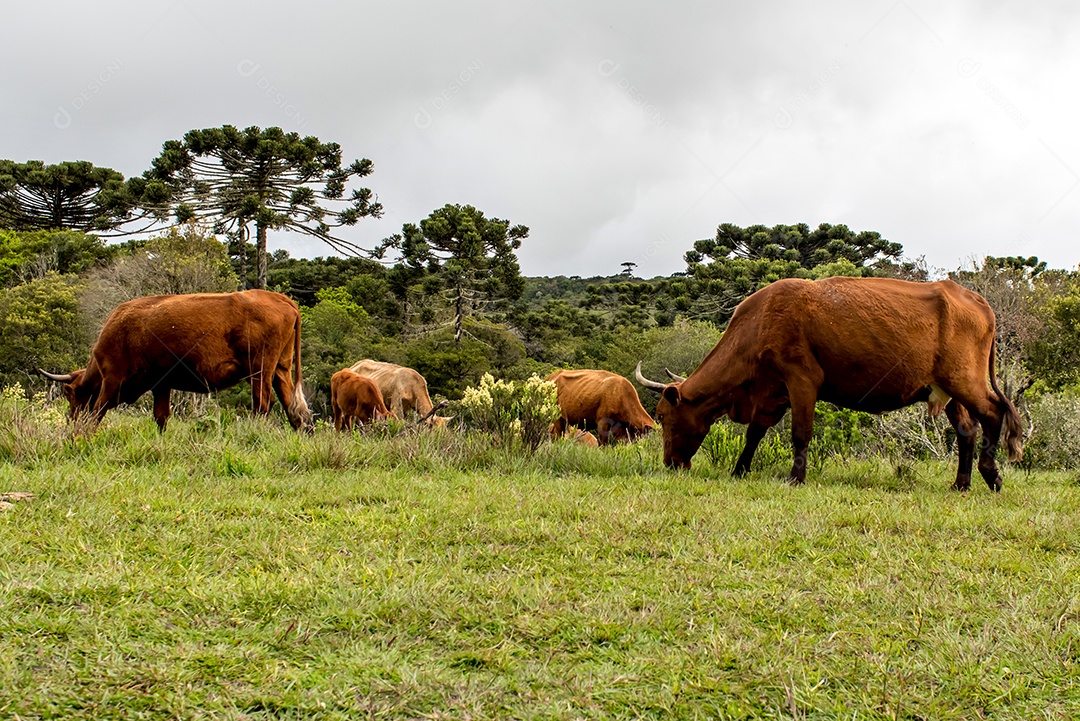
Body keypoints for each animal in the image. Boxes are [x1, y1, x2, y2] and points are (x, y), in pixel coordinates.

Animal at [39, 289, 312, 433]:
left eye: (70, 393)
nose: (70, 421)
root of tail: (279, 298)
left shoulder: (112, 379)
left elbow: (98, 410)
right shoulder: (161, 384)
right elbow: (161, 416)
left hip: (260, 371)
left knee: (263, 403)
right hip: (280, 370)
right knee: (293, 408)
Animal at [636, 276, 1024, 491]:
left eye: (664, 416)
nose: (670, 463)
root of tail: (974, 299)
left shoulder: (801, 380)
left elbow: (800, 433)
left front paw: (796, 478)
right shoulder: (773, 392)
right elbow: (755, 433)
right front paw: (739, 469)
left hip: (964, 379)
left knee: (993, 412)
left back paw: (991, 474)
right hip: (948, 390)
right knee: (966, 430)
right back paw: (961, 484)